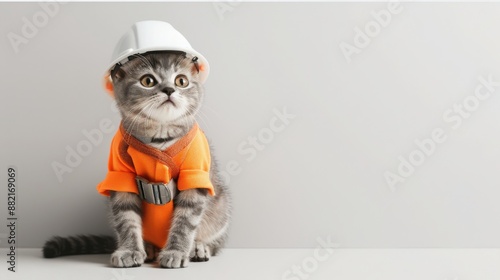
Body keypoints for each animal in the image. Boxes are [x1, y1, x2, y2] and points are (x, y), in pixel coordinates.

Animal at [42, 51, 230, 268]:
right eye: (148, 81)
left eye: (181, 81)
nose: (169, 89)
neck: (159, 136)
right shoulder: (120, 174)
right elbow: (126, 219)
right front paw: (129, 250)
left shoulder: (195, 173)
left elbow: (185, 220)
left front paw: (176, 251)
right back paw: (149, 248)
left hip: (221, 212)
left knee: (214, 240)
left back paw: (198, 247)